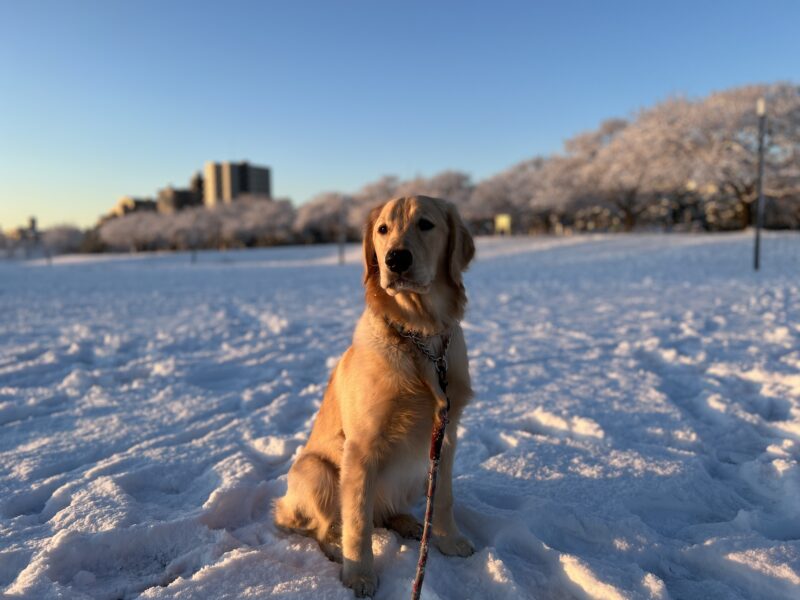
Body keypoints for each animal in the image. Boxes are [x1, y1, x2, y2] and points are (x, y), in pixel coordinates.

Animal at [276, 196, 476, 596]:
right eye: (382, 230)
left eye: (426, 224)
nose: (395, 259)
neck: (419, 334)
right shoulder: (360, 448)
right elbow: (357, 522)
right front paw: (359, 575)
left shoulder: (445, 437)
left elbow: (444, 499)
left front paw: (449, 540)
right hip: (317, 470)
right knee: (324, 527)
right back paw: (336, 547)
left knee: (385, 513)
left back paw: (409, 523)